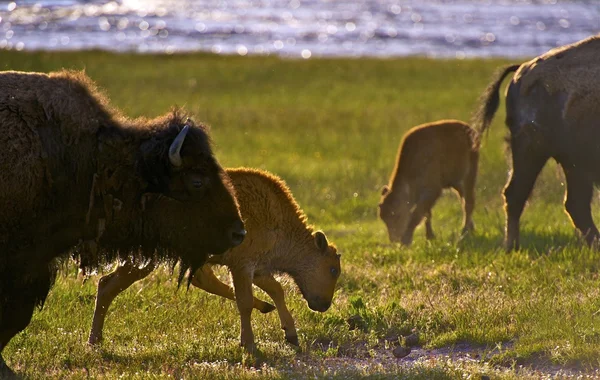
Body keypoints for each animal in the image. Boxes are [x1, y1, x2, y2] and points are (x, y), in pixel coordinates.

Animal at [84, 168, 340, 354]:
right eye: (333, 270)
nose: (324, 305)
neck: (278, 220)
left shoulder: (257, 269)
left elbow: (276, 289)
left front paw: (291, 334)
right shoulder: (242, 266)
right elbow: (245, 301)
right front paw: (249, 345)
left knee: (107, 284)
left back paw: (95, 340)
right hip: (145, 259)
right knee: (109, 285)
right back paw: (94, 340)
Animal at [474, 34, 600, 251]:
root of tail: (522, 70)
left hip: (572, 164)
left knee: (576, 204)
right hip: (533, 150)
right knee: (516, 194)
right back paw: (512, 247)